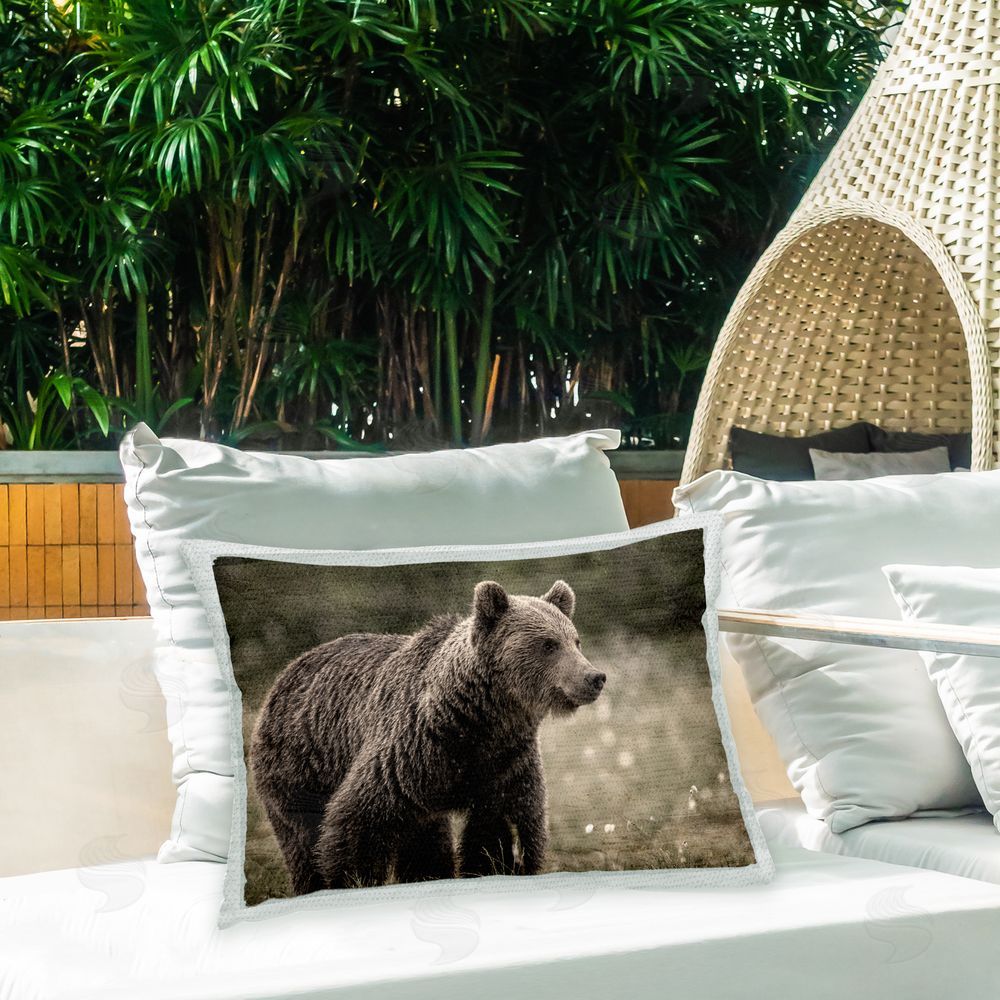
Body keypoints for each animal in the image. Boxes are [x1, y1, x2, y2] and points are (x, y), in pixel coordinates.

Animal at [250, 579, 606, 894]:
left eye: (575, 640)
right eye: (548, 644)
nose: (594, 677)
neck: (478, 720)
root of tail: (285, 672)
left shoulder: (505, 763)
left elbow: (501, 829)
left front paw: (500, 864)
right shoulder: (411, 751)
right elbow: (358, 821)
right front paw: (352, 879)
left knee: (425, 843)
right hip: (300, 767)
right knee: (303, 838)